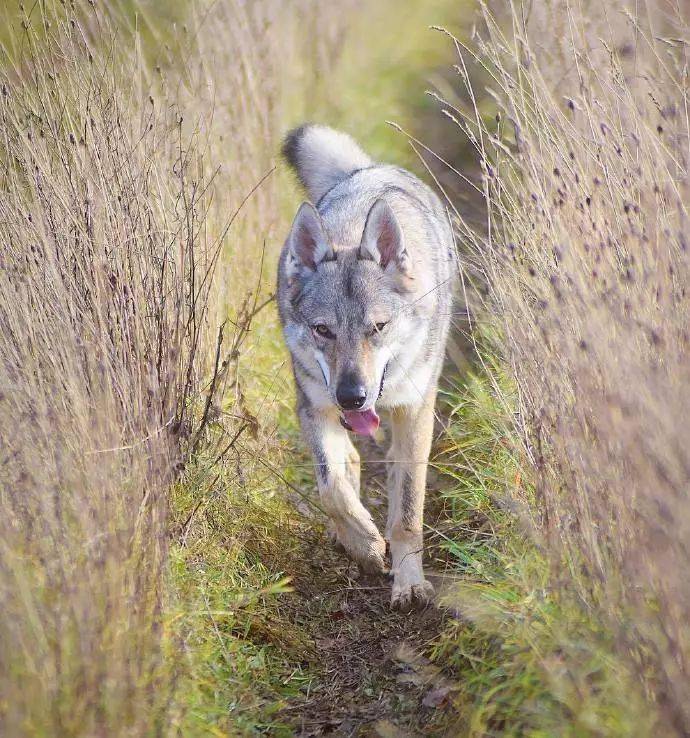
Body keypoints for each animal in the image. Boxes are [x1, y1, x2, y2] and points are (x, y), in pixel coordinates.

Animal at [276, 125, 454, 608]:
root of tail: (368, 170)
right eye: (322, 330)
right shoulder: (314, 407)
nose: (352, 396)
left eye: (378, 326)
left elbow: (407, 513)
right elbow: (331, 488)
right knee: (349, 462)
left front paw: (409, 583)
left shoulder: (414, 413)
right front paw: (366, 544)